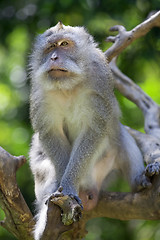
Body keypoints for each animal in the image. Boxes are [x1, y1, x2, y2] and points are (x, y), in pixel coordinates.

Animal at [29, 22, 151, 240]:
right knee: (44, 165)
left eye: (64, 44)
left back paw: (139, 181)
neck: (67, 87)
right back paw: (46, 227)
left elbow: (93, 131)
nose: (53, 58)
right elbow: (50, 134)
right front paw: (62, 186)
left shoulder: (99, 82)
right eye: (50, 47)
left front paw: (68, 187)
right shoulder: (40, 94)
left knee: (122, 136)